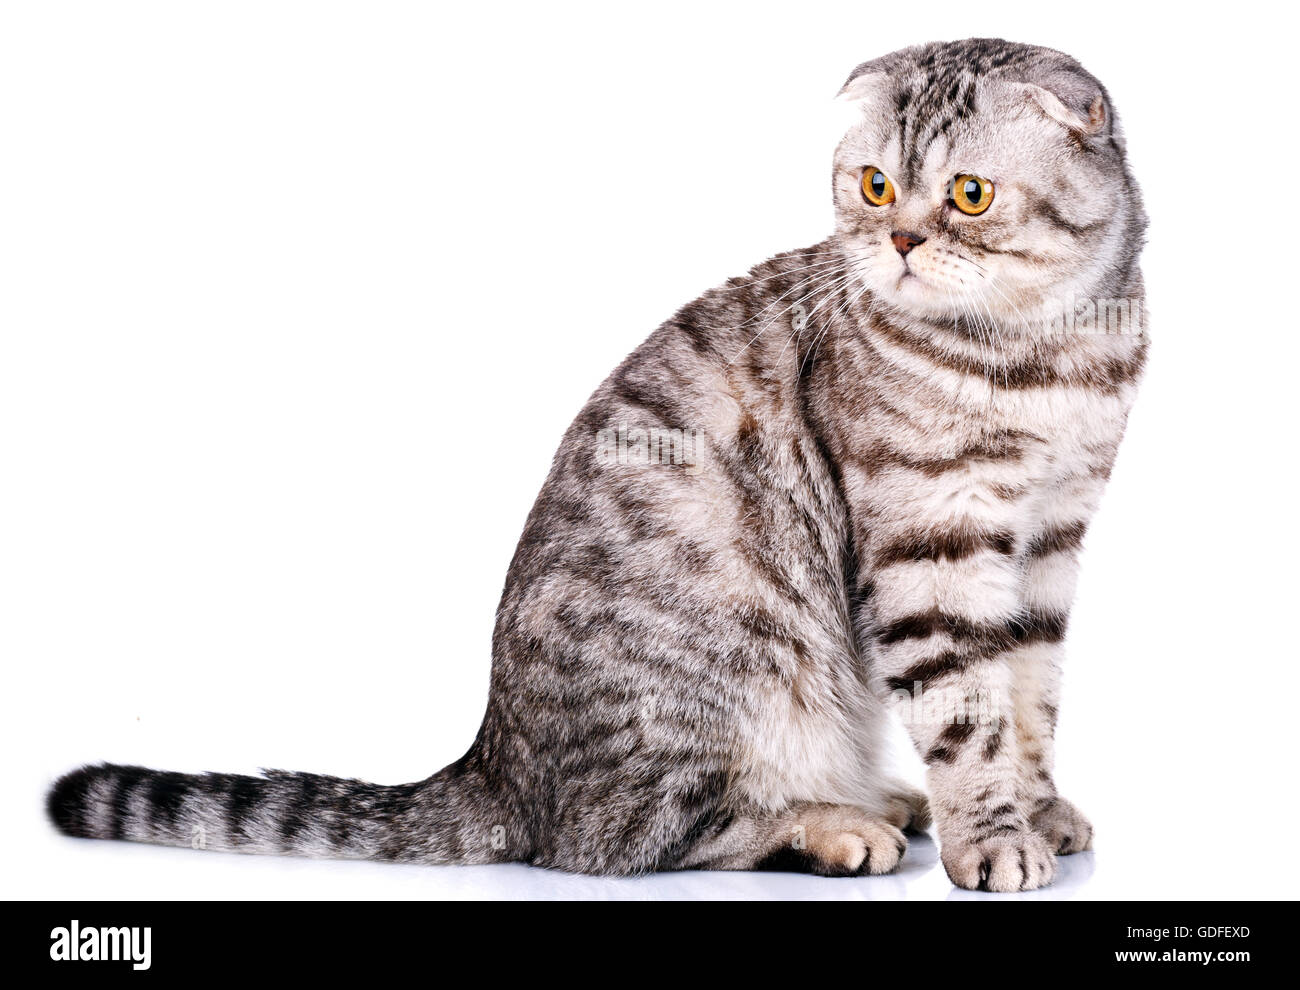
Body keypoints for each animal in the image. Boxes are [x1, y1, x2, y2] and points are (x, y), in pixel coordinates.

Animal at [48, 38, 1149, 888]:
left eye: (968, 194)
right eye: (875, 186)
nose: (904, 242)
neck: (1043, 360)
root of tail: (492, 764)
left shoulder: (1052, 537)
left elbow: (1029, 698)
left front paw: (1038, 809)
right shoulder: (931, 543)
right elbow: (968, 713)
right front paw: (990, 838)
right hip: (731, 668)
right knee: (628, 838)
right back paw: (836, 824)